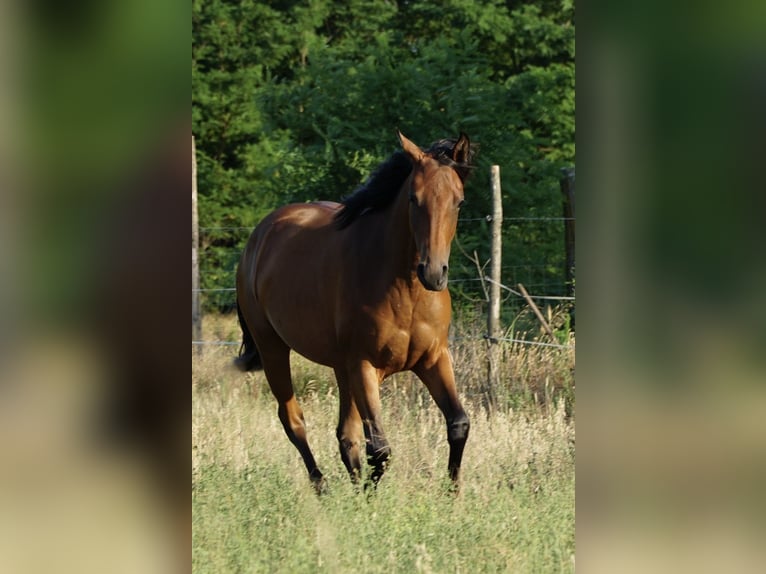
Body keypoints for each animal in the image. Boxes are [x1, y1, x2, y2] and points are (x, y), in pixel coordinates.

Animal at [235, 131, 475, 491]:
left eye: (458, 202)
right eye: (413, 199)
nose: (433, 273)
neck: (404, 289)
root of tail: (258, 237)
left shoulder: (434, 358)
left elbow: (458, 423)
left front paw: (451, 493)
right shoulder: (364, 365)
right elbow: (380, 447)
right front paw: (367, 497)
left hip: (340, 367)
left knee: (344, 435)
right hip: (273, 348)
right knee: (293, 420)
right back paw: (322, 488)